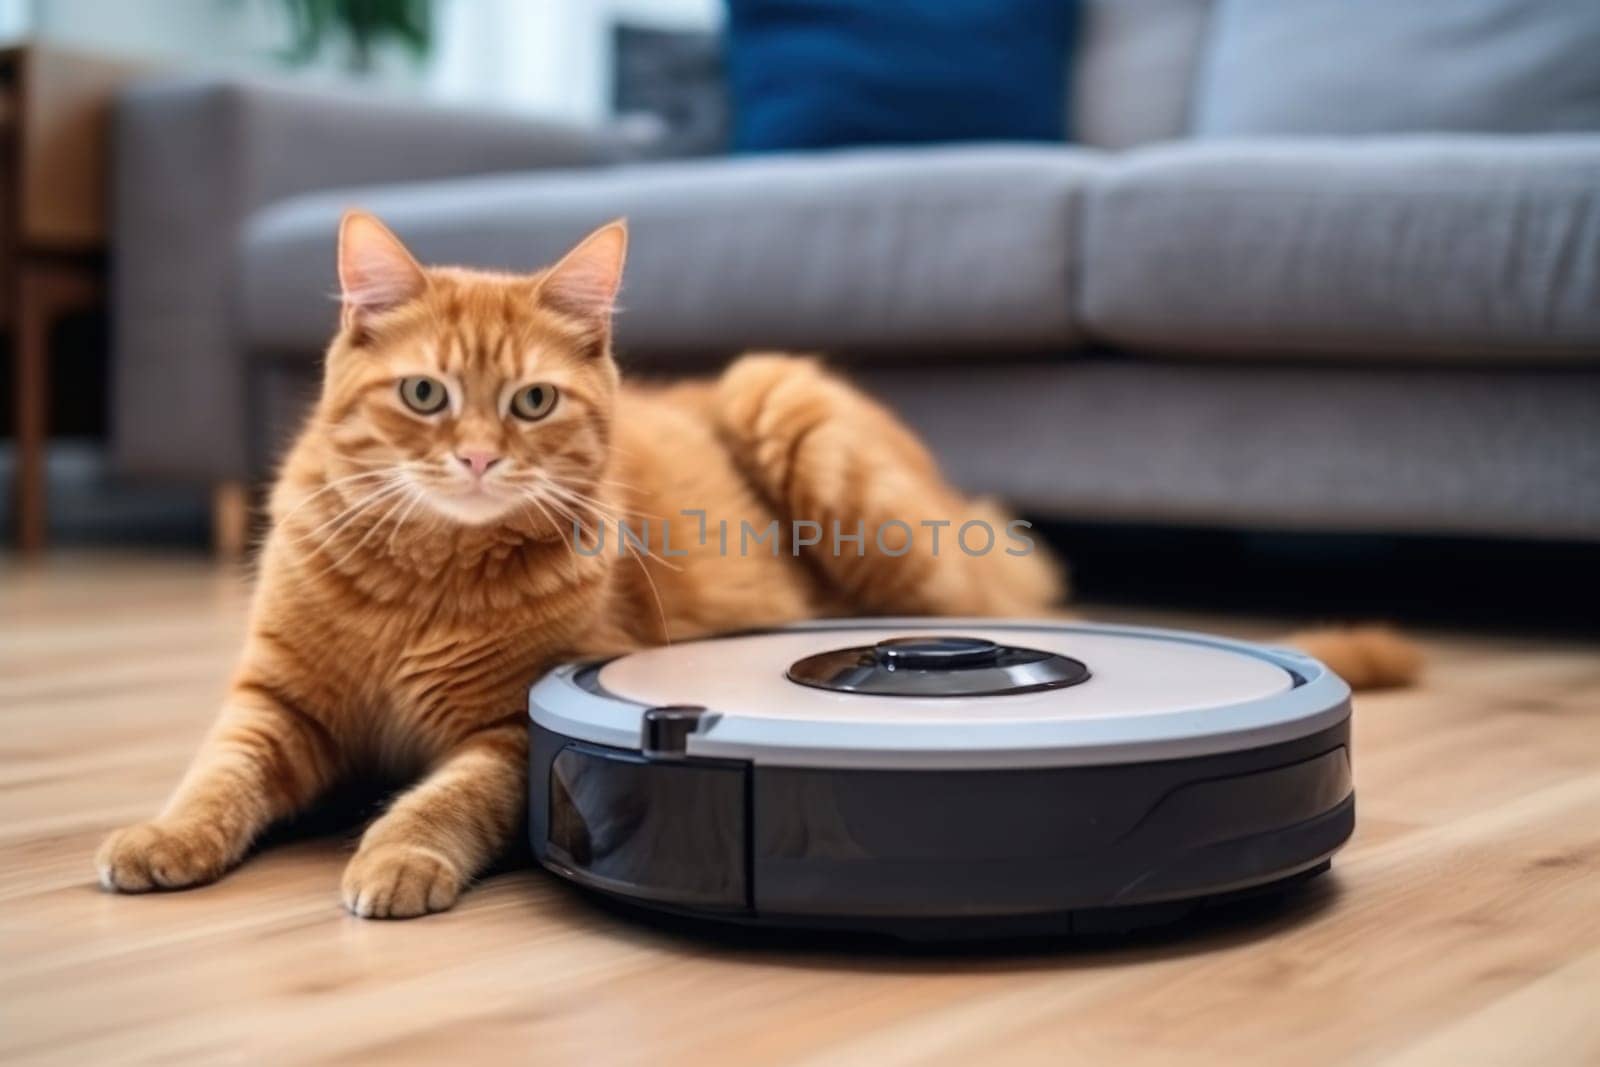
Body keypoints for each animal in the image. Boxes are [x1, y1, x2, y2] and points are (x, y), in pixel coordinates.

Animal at [93, 214, 1420, 921]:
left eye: (531, 402)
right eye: (424, 396)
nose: (474, 456)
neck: (430, 567)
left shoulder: (508, 731)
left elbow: (439, 799)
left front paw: (394, 854)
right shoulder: (279, 703)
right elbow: (216, 779)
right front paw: (160, 838)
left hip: (831, 460)